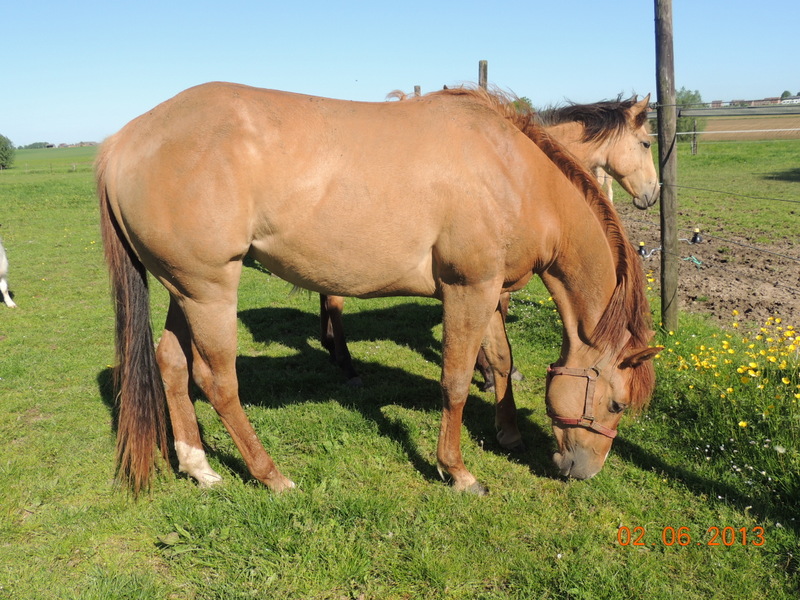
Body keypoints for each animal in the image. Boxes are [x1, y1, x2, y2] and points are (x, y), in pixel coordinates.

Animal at [318, 92, 656, 384]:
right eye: (645, 143)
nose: (652, 195)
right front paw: (492, 373)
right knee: (334, 301)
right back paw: (347, 364)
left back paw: (331, 347)